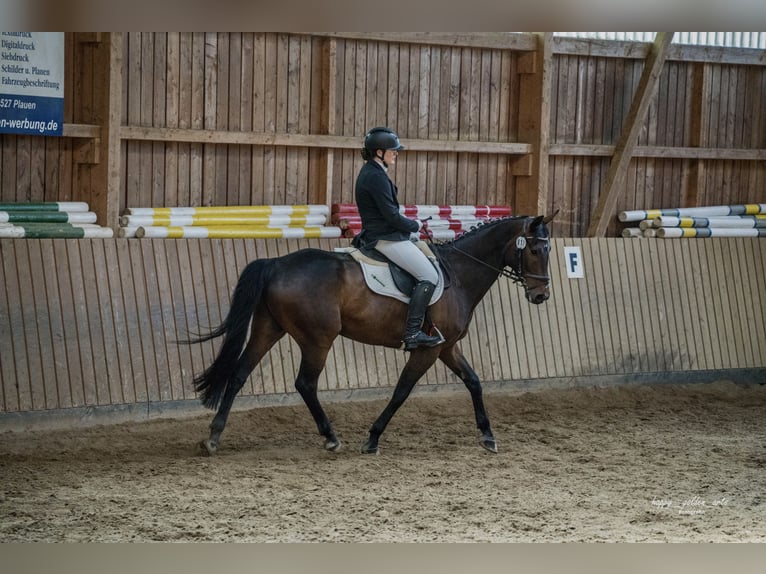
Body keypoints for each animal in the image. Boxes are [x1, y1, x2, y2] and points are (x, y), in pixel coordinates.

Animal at [186, 212, 556, 455]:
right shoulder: (428, 349)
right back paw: (330, 437)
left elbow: (474, 382)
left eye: (549, 250)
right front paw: (373, 438)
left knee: (238, 374)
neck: (459, 274)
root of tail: (275, 264)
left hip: (268, 328)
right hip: (318, 339)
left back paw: (214, 437)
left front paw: (488, 436)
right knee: (305, 383)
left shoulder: (447, 346)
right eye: (534, 250)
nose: (541, 296)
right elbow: (401, 391)